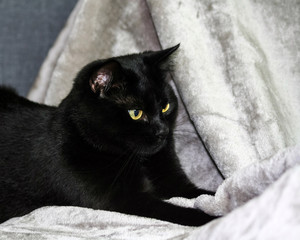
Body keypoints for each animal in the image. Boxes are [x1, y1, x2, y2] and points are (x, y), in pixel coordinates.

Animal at [0, 44, 216, 225]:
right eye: (136, 113)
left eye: (165, 106)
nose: (163, 131)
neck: (139, 160)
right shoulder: (120, 199)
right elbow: (171, 210)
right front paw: (212, 218)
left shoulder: (175, 184)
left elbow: (203, 193)